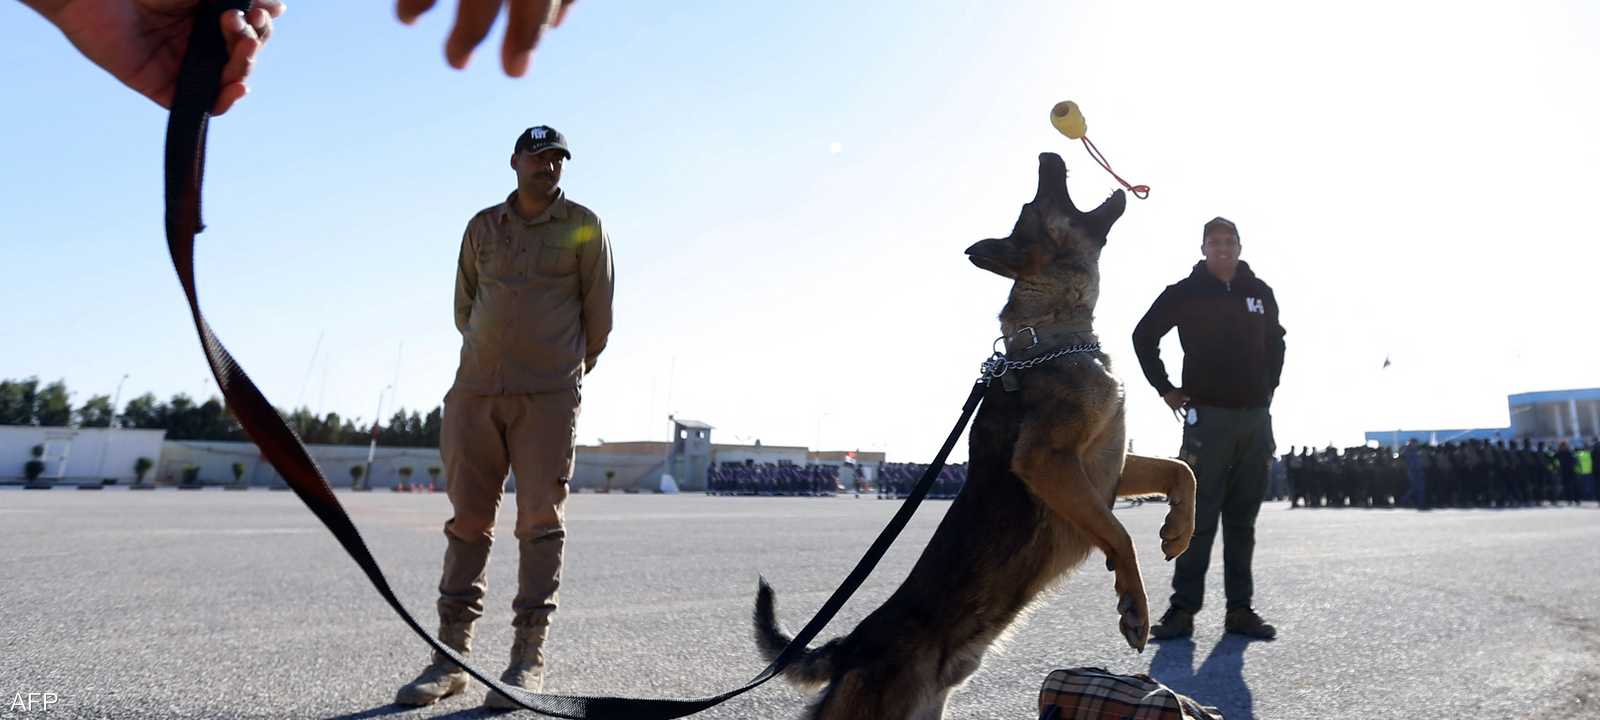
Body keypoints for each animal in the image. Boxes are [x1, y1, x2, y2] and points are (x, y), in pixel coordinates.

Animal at [755, 153, 1196, 720]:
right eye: (1035, 204)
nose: (1048, 157)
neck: (1050, 337)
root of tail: (851, 645)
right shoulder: (1048, 463)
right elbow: (1119, 534)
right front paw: (1134, 607)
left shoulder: (1111, 466)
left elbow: (1182, 470)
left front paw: (1179, 532)